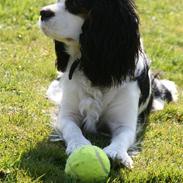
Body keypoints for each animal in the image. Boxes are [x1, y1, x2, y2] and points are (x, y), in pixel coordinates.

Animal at [39, 0, 177, 169]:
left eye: (75, 4)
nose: (42, 12)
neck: (94, 67)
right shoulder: (67, 116)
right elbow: (72, 129)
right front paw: (80, 145)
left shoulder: (125, 123)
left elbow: (123, 136)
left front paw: (116, 153)